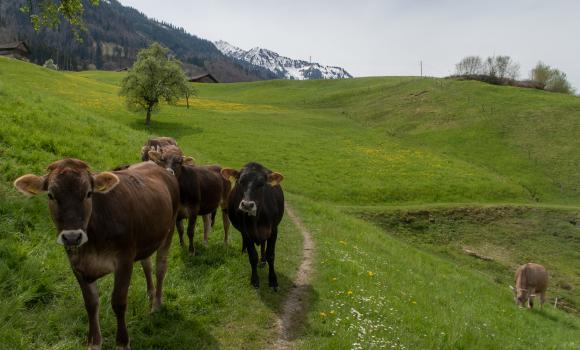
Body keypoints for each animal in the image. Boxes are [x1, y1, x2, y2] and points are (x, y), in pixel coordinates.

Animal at [14, 159, 179, 350]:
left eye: (88, 193)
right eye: (50, 195)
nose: (72, 236)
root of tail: (156, 165)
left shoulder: (124, 260)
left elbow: (118, 302)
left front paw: (122, 342)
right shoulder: (77, 265)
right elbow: (91, 304)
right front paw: (94, 342)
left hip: (169, 229)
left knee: (160, 268)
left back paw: (157, 304)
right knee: (147, 263)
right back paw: (150, 294)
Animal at [221, 163, 284, 292]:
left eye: (261, 184)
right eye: (240, 182)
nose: (247, 205)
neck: (258, 219)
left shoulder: (273, 231)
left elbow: (271, 255)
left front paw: (273, 280)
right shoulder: (247, 232)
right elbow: (253, 257)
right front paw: (254, 280)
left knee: (263, 244)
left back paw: (263, 260)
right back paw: (244, 251)